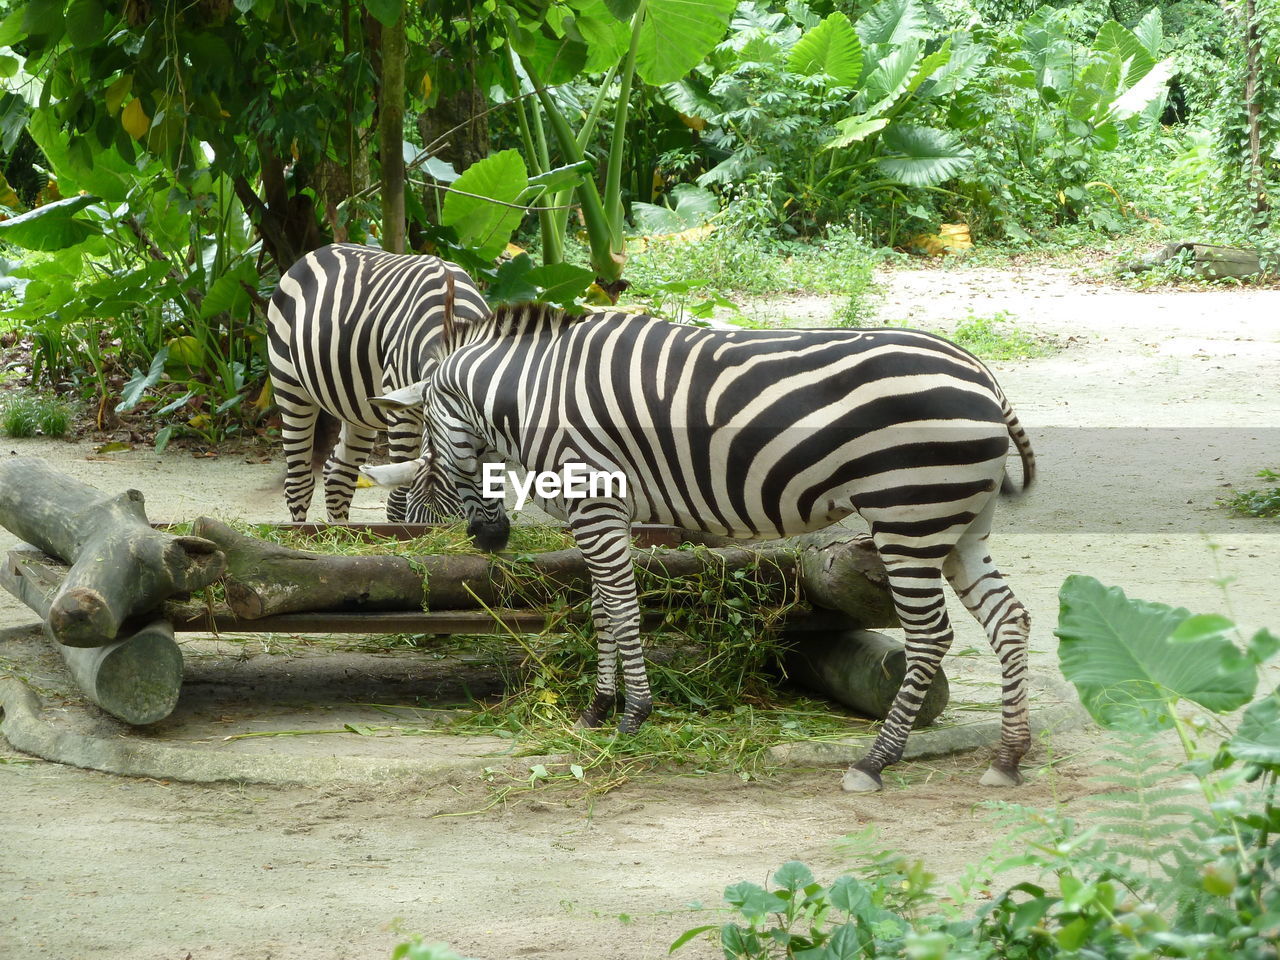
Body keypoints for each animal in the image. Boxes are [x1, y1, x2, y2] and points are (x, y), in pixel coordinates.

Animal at [264, 244, 488, 522]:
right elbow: (398, 501)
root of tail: (318, 251)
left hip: (357, 407)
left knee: (338, 474)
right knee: (298, 484)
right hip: (289, 384)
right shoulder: (402, 414)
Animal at [363, 304, 1039, 793]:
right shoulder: (595, 515)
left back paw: (875, 761)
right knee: (1009, 620)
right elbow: (601, 611)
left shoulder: (599, 505)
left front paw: (632, 715)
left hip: (909, 516)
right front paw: (595, 711)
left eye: (429, 452)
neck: (530, 395)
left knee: (930, 636)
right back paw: (1007, 758)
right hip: (959, 521)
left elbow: (622, 610)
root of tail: (985, 376)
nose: (490, 539)